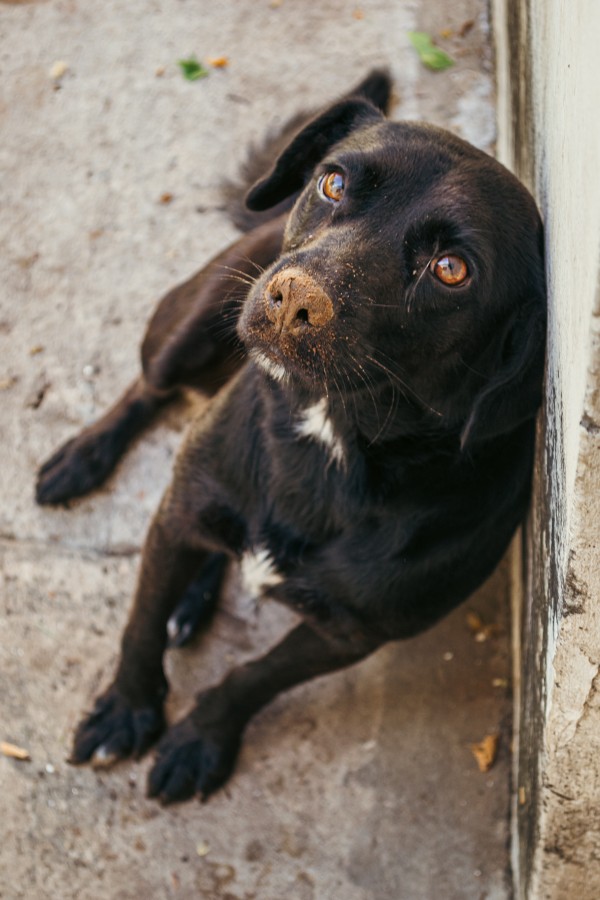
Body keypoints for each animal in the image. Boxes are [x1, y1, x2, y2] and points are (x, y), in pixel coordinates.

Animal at [35, 68, 548, 800]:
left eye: (452, 269)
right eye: (333, 183)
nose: (296, 298)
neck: (330, 441)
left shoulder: (348, 631)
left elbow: (254, 678)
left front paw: (199, 738)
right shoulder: (175, 515)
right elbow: (139, 623)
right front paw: (127, 710)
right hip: (189, 322)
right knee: (148, 389)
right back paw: (83, 458)